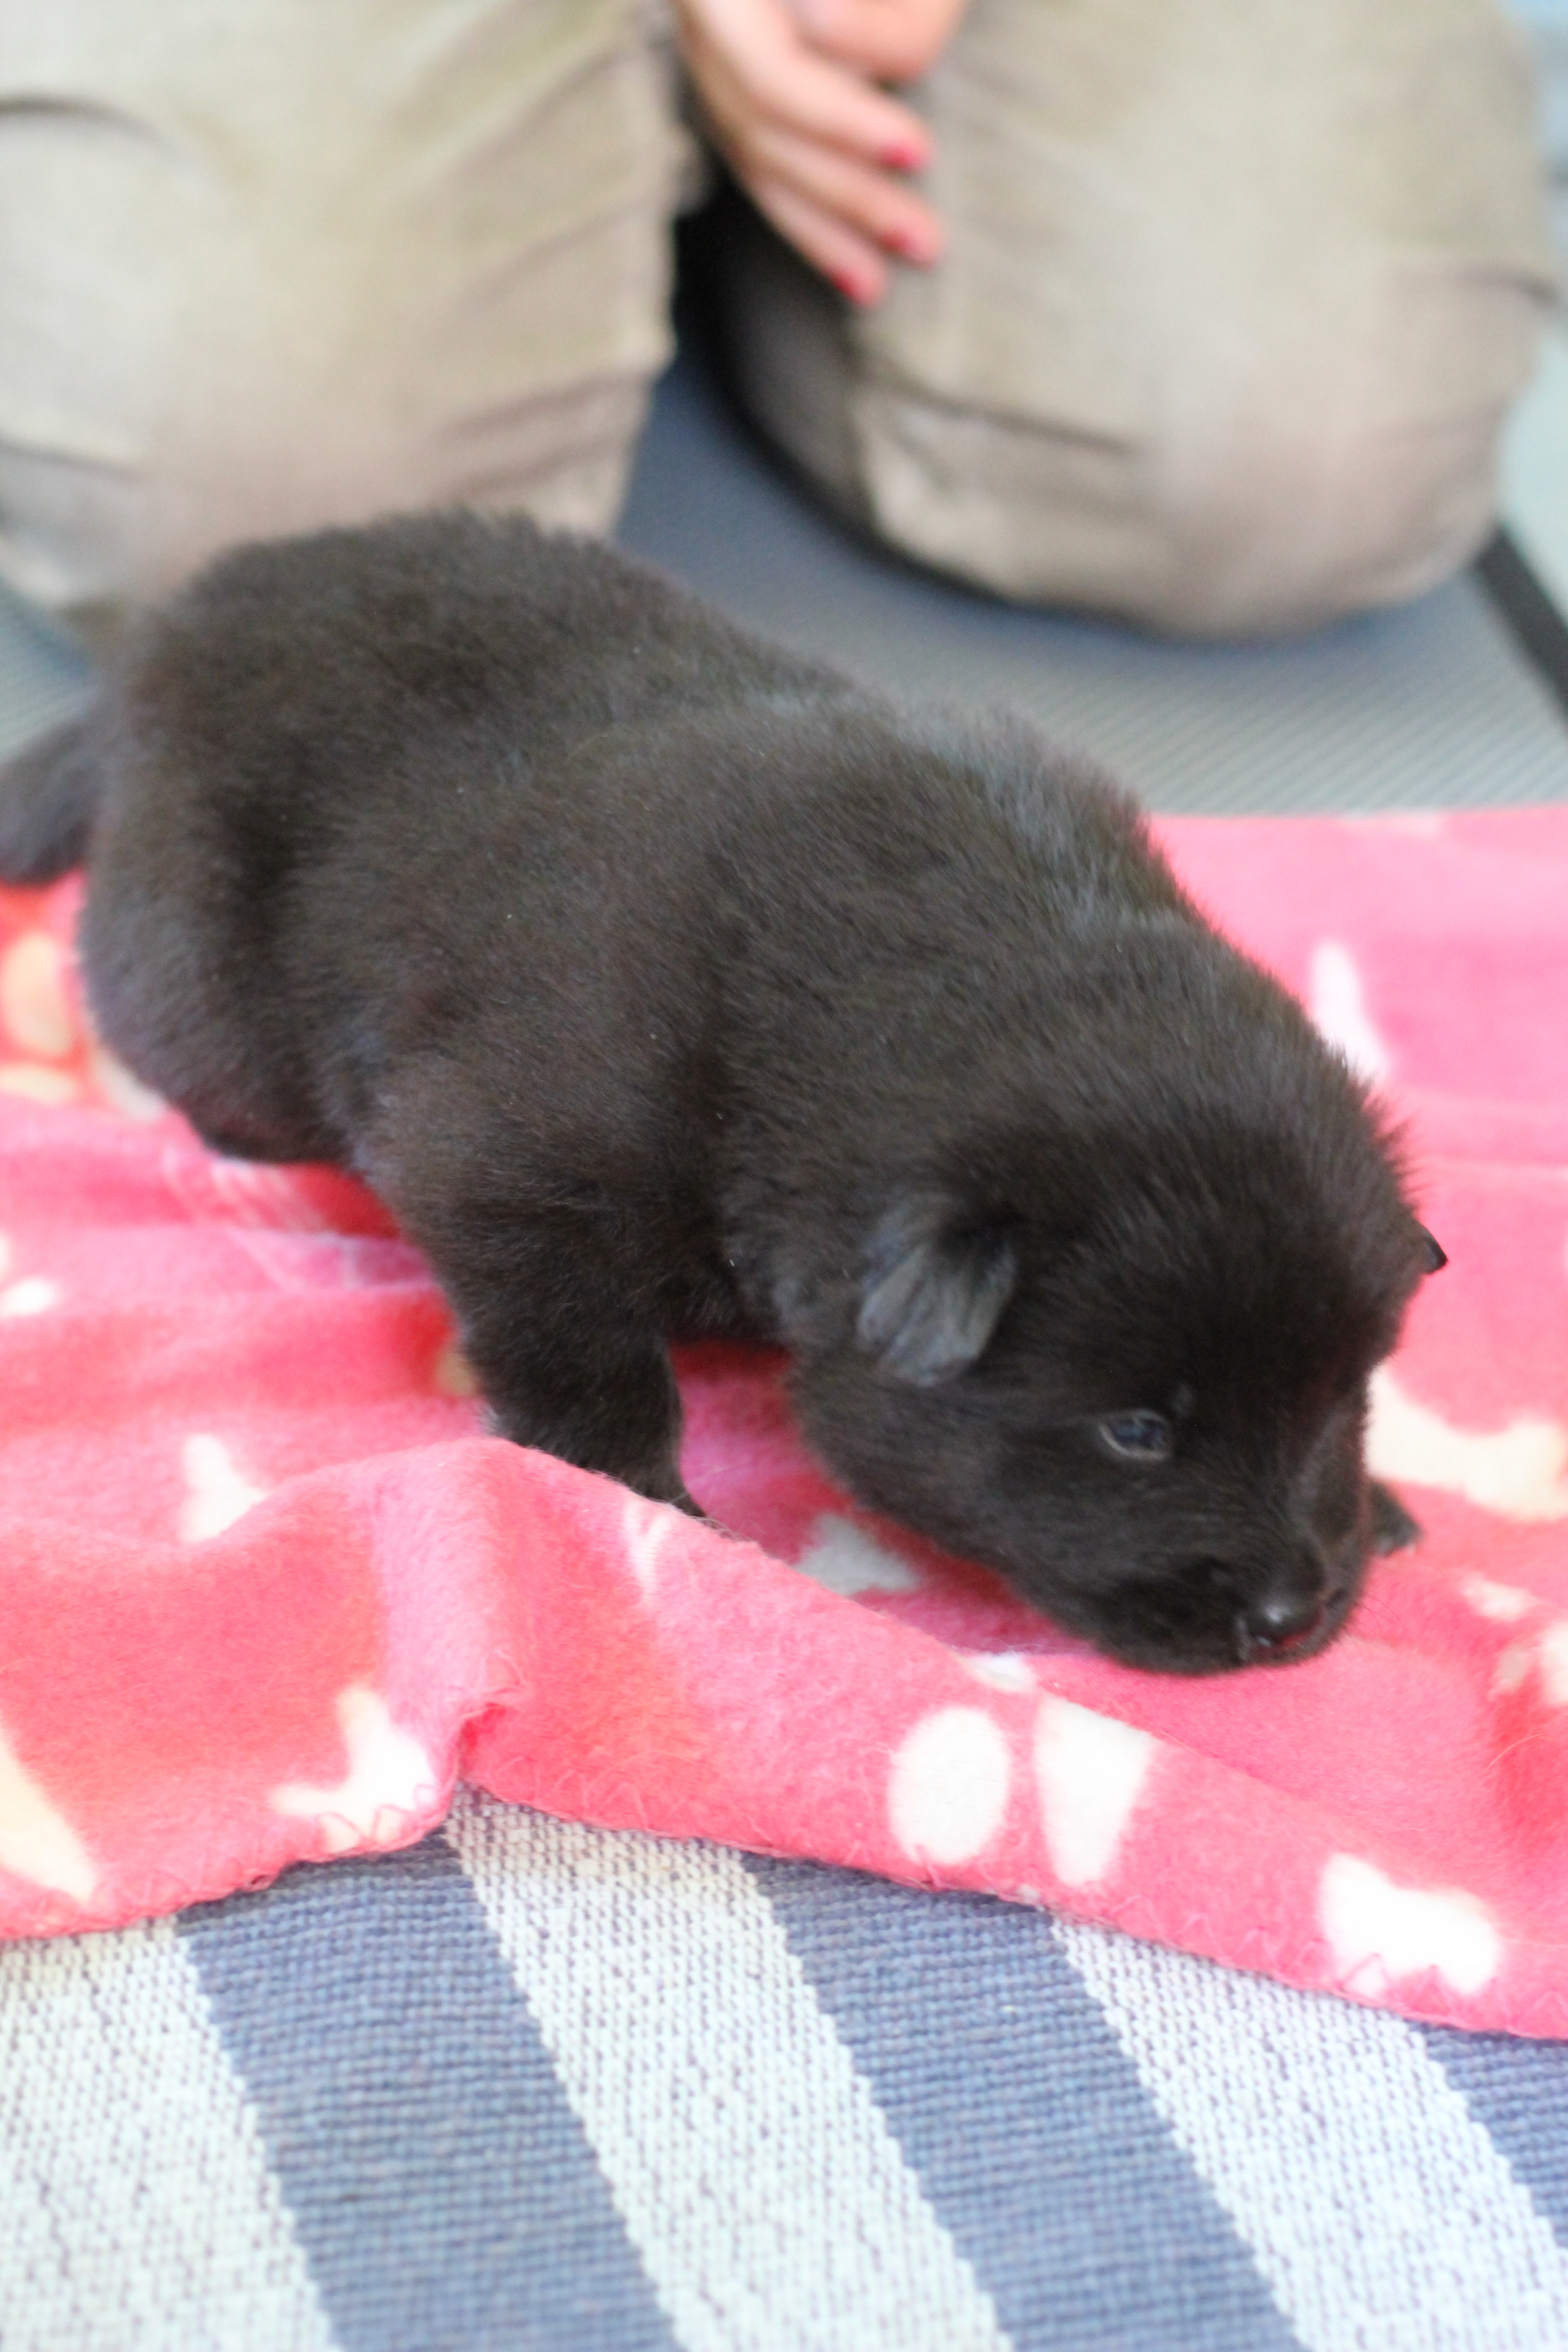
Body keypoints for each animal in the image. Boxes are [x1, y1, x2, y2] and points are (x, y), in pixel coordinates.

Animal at [0, 510, 1440, 1673]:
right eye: (1136, 1431)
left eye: (1343, 1395)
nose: (1291, 1617)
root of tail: (152, 651)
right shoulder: (509, 1161)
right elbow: (584, 1350)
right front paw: (643, 1501)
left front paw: (1382, 1503)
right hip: (198, 975)